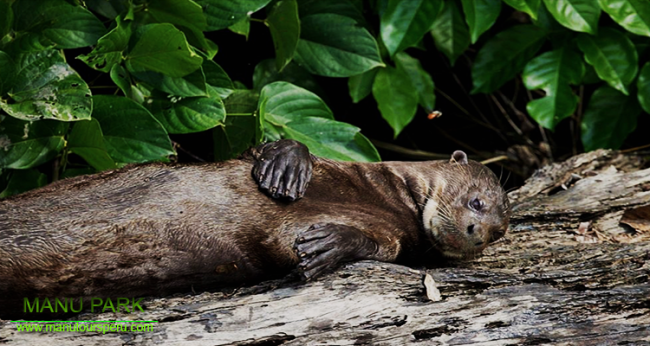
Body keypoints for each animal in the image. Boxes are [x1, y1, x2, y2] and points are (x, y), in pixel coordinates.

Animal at [0, 140, 506, 316]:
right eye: (476, 201)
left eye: (499, 230)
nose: (478, 232)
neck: (386, 198)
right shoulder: (345, 167)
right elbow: (260, 151)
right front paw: (287, 162)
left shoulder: (394, 236)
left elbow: (372, 245)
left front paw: (326, 246)